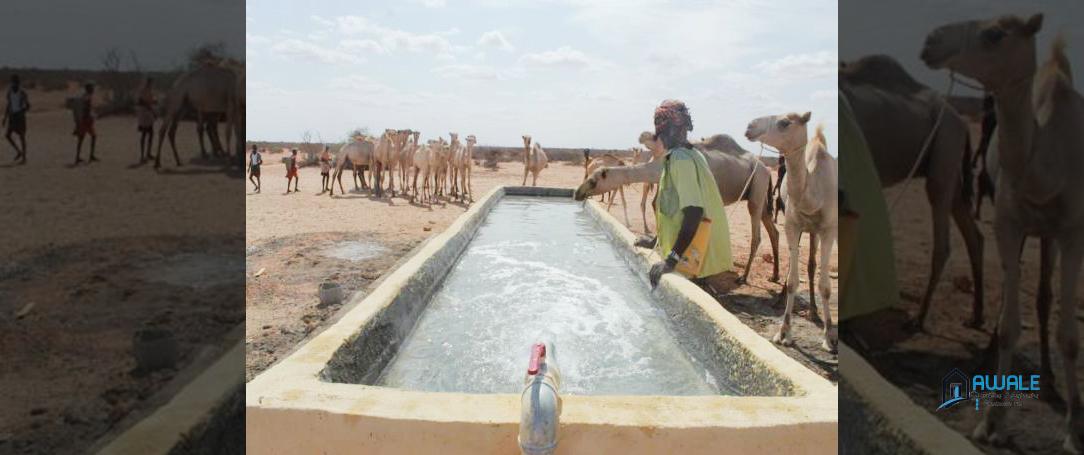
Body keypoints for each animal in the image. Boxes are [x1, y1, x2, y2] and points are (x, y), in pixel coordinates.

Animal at [576, 134, 780, 283]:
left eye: (592, 181)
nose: (577, 193)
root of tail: (766, 169)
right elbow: (659, 209)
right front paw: (646, 242)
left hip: (757, 187)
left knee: (757, 235)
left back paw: (743, 277)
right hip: (760, 194)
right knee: (774, 231)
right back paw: (774, 276)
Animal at [745, 112, 836, 351]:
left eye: (784, 122)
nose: (750, 126)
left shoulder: (829, 229)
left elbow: (825, 285)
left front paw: (829, 337)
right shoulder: (792, 226)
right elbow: (794, 279)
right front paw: (783, 332)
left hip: (817, 231)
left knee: (813, 265)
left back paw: (815, 312)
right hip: (805, 228)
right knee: (803, 266)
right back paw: (787, 301)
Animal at [919, 15, 1084, 450]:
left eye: (994, 34)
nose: (930, 40)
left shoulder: (1072, 232)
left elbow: (1069, 335)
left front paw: (1074, 431)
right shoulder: (1009, 224)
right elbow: (1010, 325)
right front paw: (992, 421)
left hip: (1050, 234)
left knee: (1043, 296)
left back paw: (1049, 381)